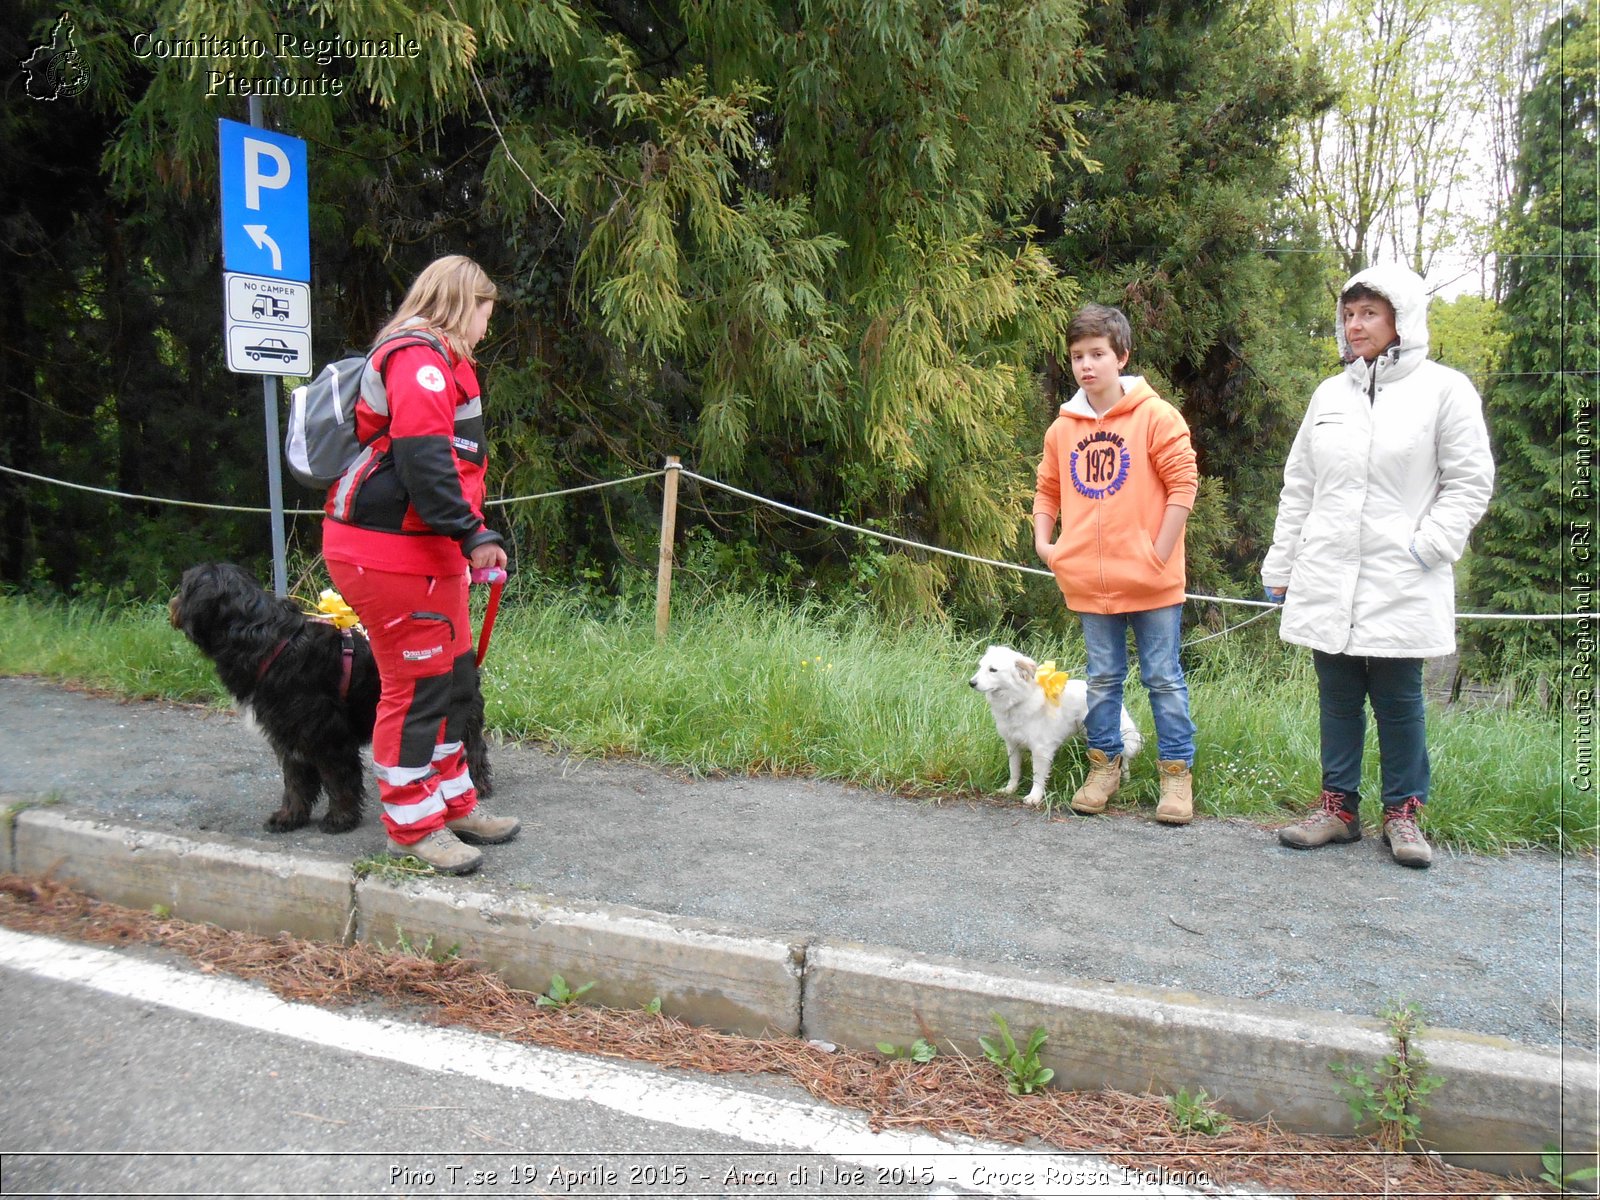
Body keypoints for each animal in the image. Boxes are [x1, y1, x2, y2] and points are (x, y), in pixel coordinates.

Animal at [168, 563, 492, 838]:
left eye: (185, 587)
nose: (172, 603)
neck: (267, 640)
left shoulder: (327, 734)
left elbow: (338, 779)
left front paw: (340, 818)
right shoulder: (288, 733)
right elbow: (295, 782)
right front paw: (290, 816)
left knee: (472, 746)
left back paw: (476, 783)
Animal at [966, 649, 1145, 809]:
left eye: (993, 670)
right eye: (980, 666)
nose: (971, 683)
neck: (1019, 698)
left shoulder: (1041, 750)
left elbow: (1038, 776)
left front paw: (1034, 797)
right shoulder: (1012, 745)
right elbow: (1014, 771)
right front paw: (1010, 789)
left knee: (1123, 759)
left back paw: (1124, 782)